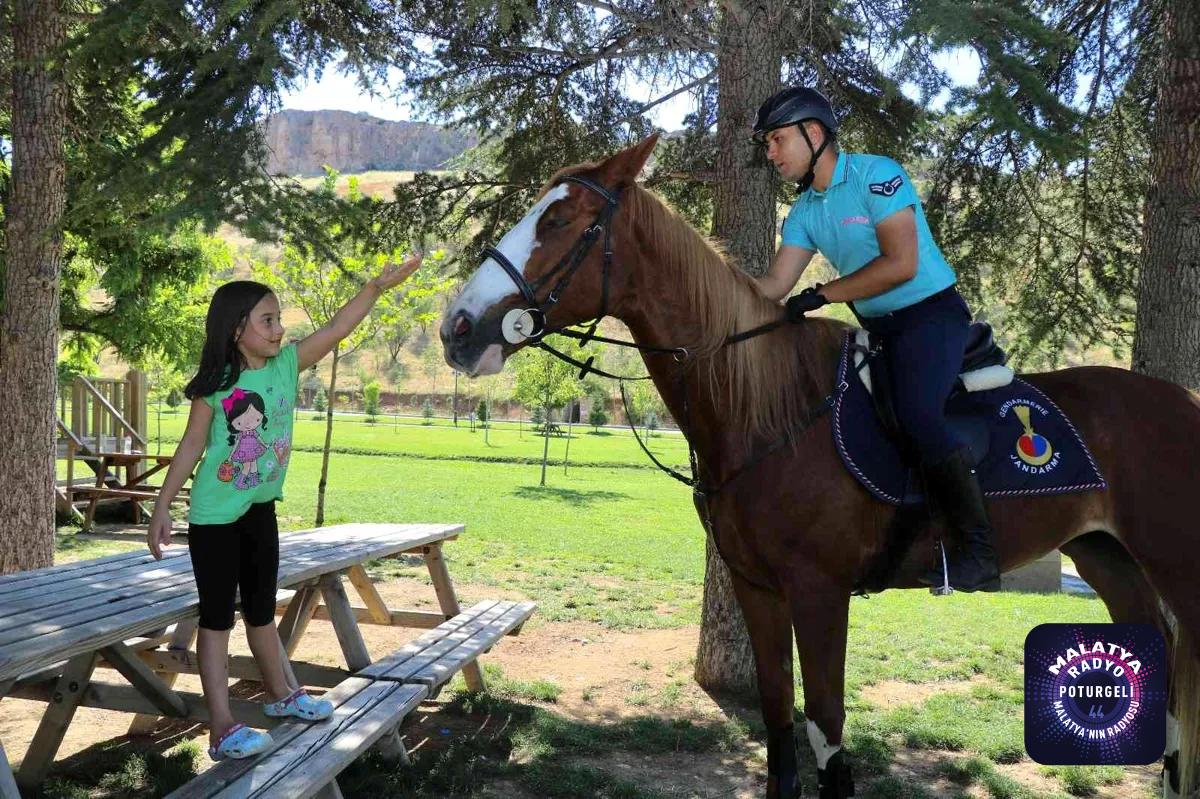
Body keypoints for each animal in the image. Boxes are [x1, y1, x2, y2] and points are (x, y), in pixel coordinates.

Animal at [441, 136, 1200, 796]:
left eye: (559, 219)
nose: (457, 328)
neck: (767, 410)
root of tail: (1181, 401)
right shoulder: (758, 588)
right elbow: (780, 720)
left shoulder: (819, 592)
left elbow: (826, 729)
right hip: (1105, 556)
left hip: (1170, 562)